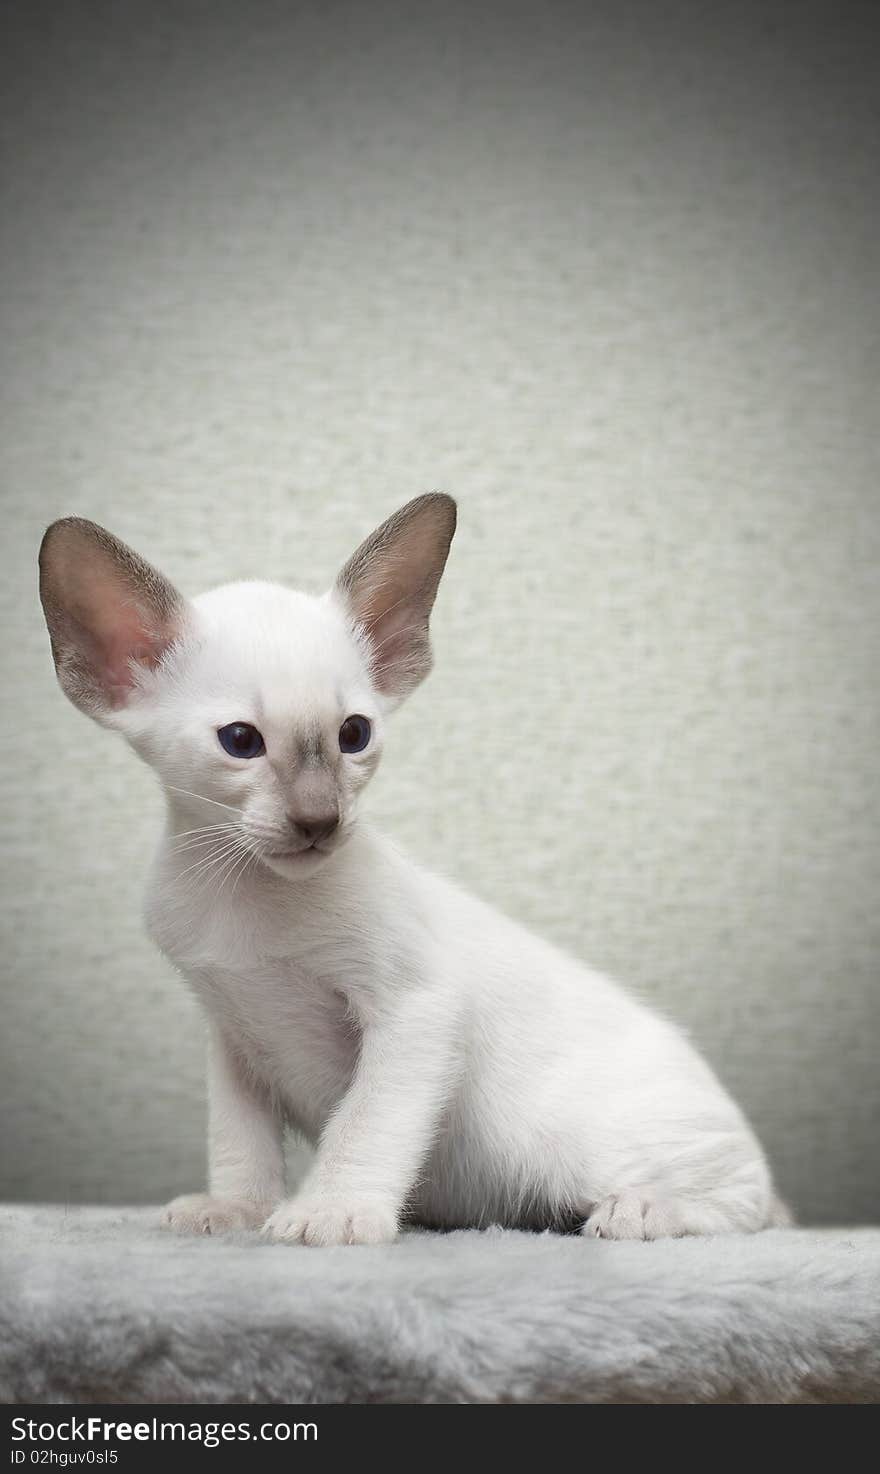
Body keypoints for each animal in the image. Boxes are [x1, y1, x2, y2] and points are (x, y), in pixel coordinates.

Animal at [37, 498, 784, 1244]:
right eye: (241, 742)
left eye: (354, 735)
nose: (319, 821)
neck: (241, 887)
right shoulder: (233, 1035)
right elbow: (238, 1140)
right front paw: (235, 1211)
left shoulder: (417, 1011)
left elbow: (366, 1124)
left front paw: (331, 1211)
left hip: (578, 1145)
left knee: (753, 1205)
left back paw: (647, 1210)